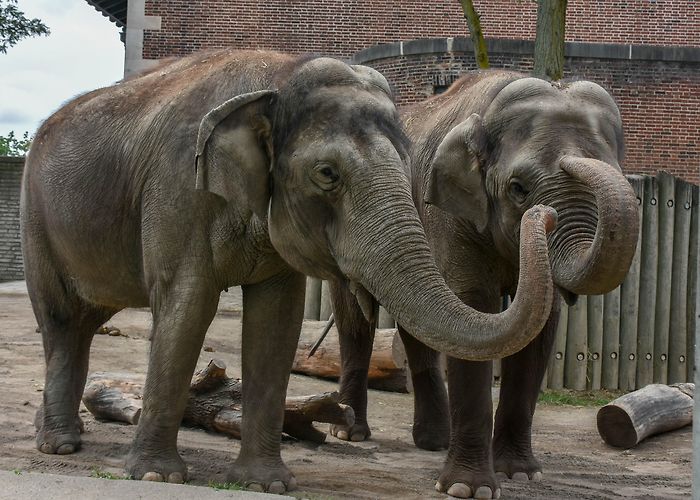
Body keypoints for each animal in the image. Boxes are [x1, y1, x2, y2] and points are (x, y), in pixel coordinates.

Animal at [20, 52, 559, 494]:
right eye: (327, 174)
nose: (546, 212)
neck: (276, 78)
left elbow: (277, 320)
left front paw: (265, 484)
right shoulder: (177, 189)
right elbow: (188, 306)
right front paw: (156, 476)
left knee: (85, 321)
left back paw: (65, 433)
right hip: (35, 218)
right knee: (61, 319)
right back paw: (60, 445)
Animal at [329, 71, 640, 498]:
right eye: (518, 188)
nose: (545, 216)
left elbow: (536, 331)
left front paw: (520, 475)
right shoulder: (449, 213)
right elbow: (475, 308)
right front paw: (467, 488)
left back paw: (434, 441)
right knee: (355, 320)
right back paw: (349, 432)